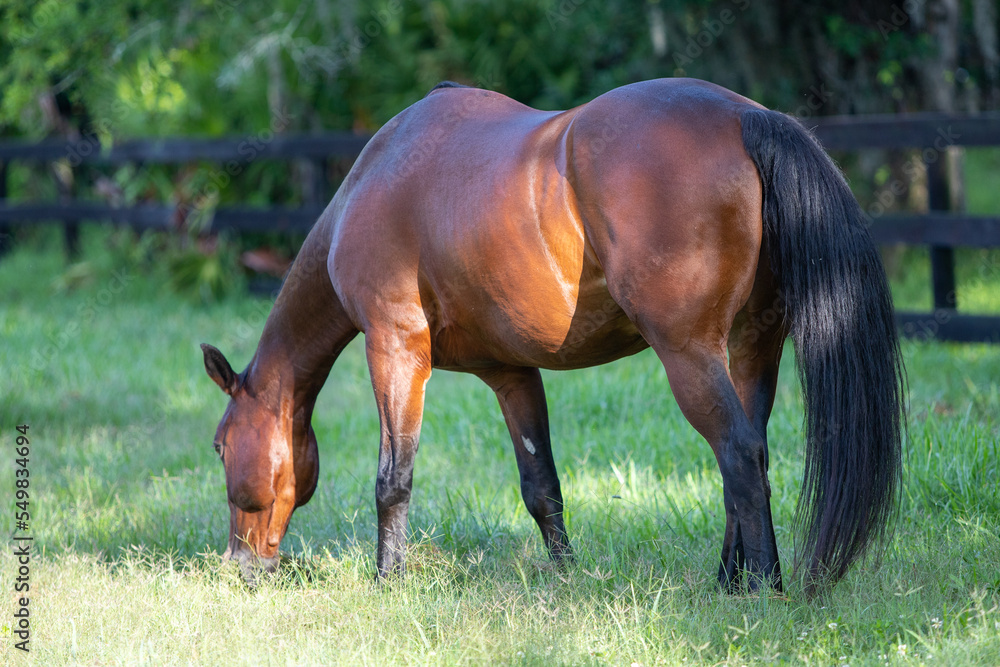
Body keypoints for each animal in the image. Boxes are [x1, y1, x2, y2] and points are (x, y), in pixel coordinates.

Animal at [203, 78, 908, 596]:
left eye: (219, 446)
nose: (239, 567)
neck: (376, 176)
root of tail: (747, 116)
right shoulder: (511, 373)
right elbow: (541, 485)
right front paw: (568, 576)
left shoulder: (394, 349)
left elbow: (392, 478)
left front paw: (387, 582)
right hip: (751, 349)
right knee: (752, 453)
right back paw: (731, 579)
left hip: (690, 355)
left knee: (737, 452)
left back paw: (759, 588)